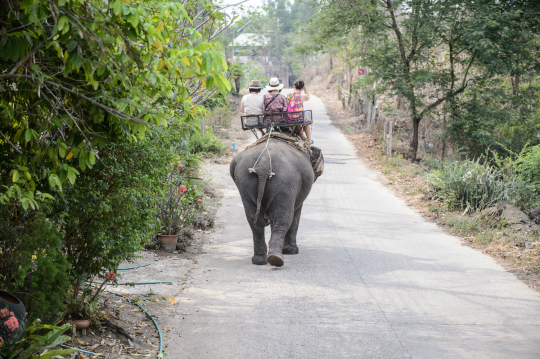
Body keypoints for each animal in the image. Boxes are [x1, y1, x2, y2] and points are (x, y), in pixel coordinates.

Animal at [230, 139, 314, 268]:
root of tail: (263, 164)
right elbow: (296, 213)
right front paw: (292, 251)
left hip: (245, 183)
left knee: (254, 221)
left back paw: (260, 260)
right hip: (286, 183)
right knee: (281, 220)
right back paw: (277, 258)